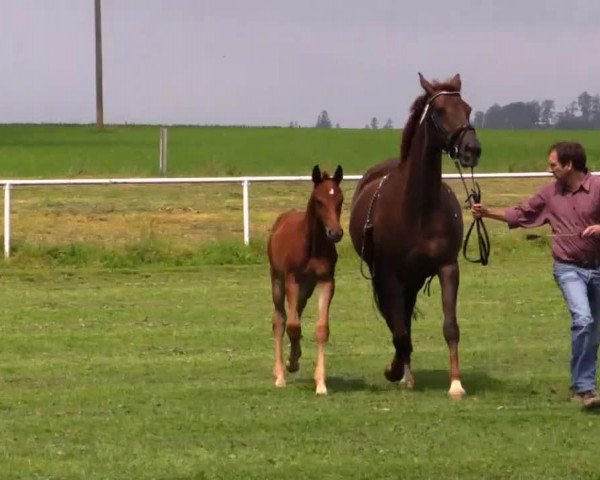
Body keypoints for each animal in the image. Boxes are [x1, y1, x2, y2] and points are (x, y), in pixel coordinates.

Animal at [270, 165, 344, 394]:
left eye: (340, 199)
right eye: (319, 201)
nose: (335, 233)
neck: (313, 245)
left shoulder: (326, 281)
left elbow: (321, 329)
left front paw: (320, 383)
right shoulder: (292, 280)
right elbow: (292, 326)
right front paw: (290, 365)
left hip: (307, 288)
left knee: (297, 314)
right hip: (278, 281)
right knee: (280, 320)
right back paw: (280, 374)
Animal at [350, 74, 480, 398]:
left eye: (467, 109)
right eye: (439, 111)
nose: (472, 149)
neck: (418, 209)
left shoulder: (447, 267)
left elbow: (450, 326)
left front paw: (456, 384)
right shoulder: (388, 275)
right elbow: (398, 329)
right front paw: (393, 370)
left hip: (415, 278)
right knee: (397, 321)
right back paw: (403, 372)